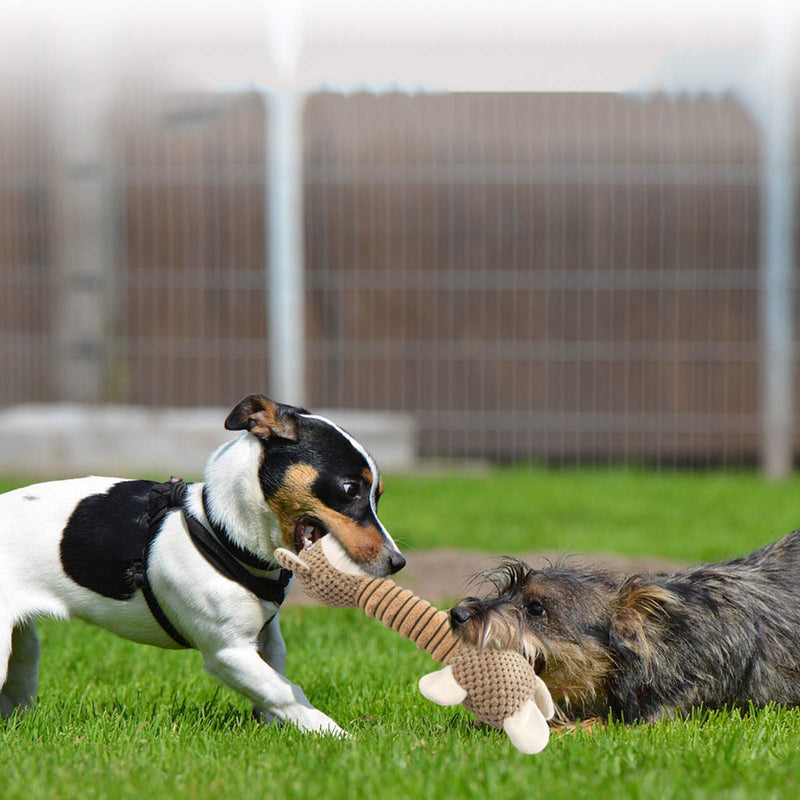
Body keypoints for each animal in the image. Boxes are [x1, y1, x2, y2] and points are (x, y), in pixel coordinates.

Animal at [0, 396, 404, 736]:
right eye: (350, 489)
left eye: (379, 496)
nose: (398, 562)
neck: (219, 529)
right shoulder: (228, 652)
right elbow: (286, 692)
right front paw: (337, 737)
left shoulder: (267, 638)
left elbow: (275, 682)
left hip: (23, 647)